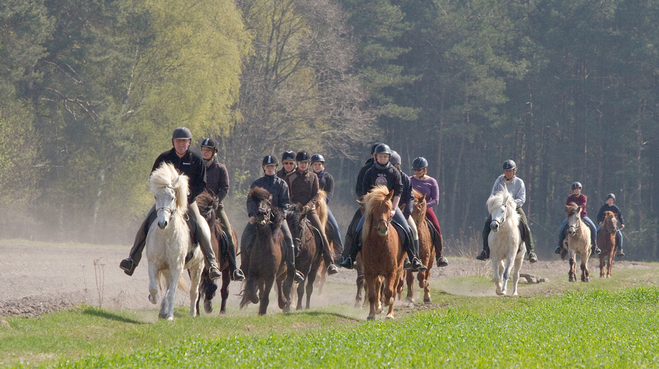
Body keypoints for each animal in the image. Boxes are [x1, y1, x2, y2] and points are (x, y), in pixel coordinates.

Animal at [147, 162, 204, 318]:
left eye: (172, 197)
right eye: (156, 197)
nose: (162, 223)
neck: (166, 235)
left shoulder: (177, 267)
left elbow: (172, 293)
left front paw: (170, 317)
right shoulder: (154, 264)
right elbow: (154, 288)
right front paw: (153, 299)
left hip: (198, 267)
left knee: (194, 292)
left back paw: (192, 313)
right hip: (168, 270)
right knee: (167, 288)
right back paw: (162, 310)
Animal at [358, 187, 404, 320]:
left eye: (388, 208)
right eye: (373, 209)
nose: (382, 228)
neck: (379, 244)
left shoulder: (392, 271)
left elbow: (389, 291)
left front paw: (387, 303)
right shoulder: (369, 272)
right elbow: (372, 294)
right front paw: (372, 314)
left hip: (399, 269)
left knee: (393, 288)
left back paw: (389, 314)